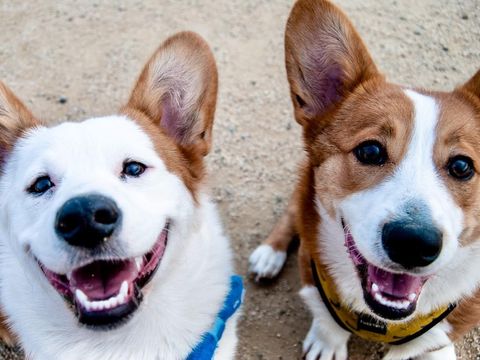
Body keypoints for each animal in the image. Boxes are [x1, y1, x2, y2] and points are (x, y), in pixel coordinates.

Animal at [249, 0, 480, 360]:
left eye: (461, 166)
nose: (413, 243)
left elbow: (428, 343)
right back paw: (269, 255)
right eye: (370, 151)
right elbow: (326, 317)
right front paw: (327, 342)